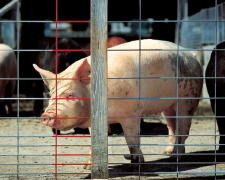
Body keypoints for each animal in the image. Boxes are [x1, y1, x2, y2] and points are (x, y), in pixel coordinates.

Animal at [33, 38, 204, 171]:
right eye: (51, 95)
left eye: (70, 94)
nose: (45, 115)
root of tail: (192, 55)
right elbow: (94, 140)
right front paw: (86, 167)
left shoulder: (131, 114)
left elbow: (132, 139)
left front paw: (135, 166)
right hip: (168, 105)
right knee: (171, 127)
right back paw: (167, 153)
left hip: (188, 97)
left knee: (183, 129)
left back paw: (174, 158)